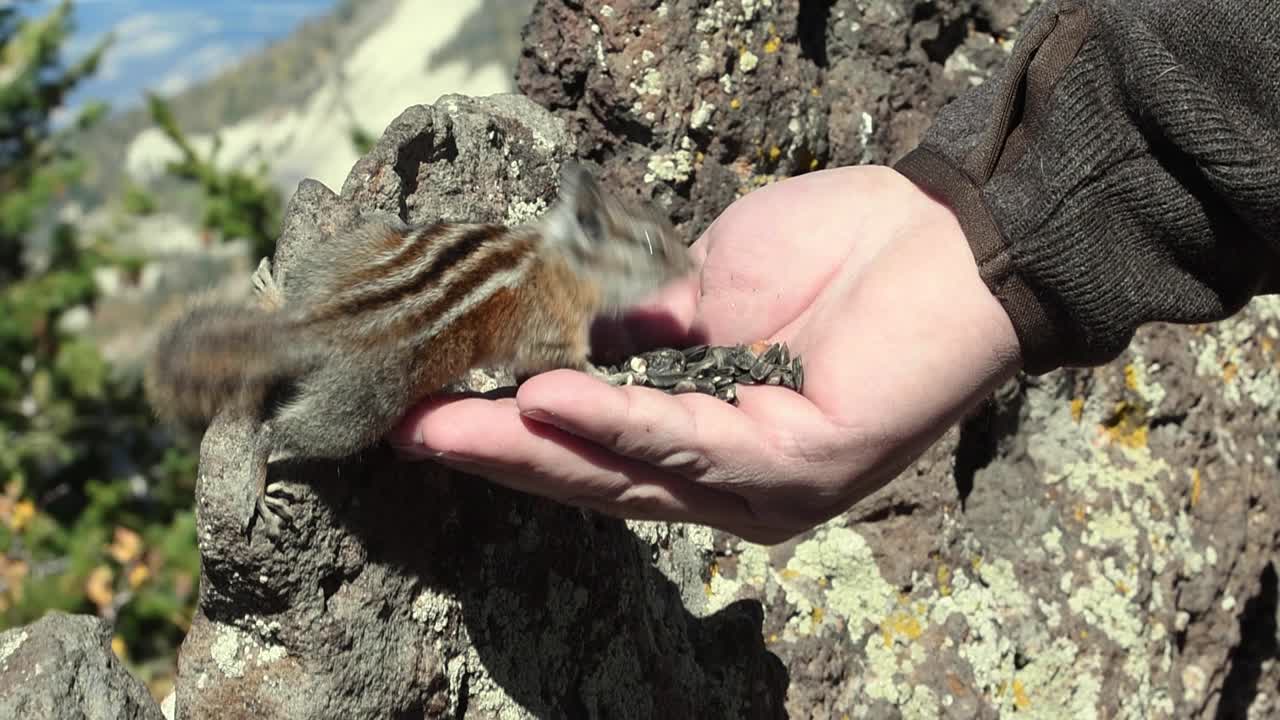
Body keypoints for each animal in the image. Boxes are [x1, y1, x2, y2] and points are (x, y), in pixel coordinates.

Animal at [143, 163, 695, 539]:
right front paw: (614, 376)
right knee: (274, 433)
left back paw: (274, 292)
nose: (692, 267)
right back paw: (257, 491)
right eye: (651, 247)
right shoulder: (553, 329)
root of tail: (314, 324)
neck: (565, 259)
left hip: (356, 245)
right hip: (360, 408)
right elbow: (570, 362)